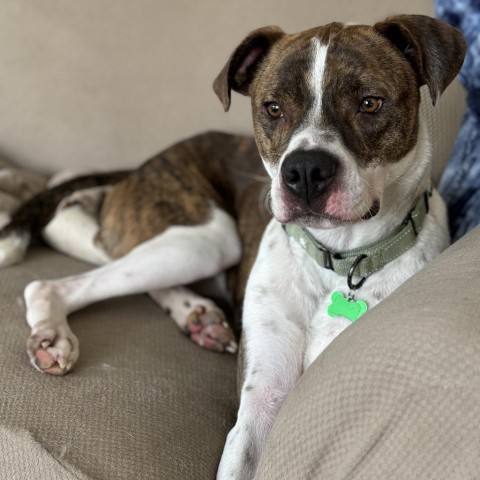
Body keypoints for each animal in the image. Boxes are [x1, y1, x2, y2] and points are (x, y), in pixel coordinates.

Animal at [0, 13, 464, 478]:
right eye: (272, 108)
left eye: (370, 103)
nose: (305, 170)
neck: (334, 259)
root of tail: (140, 167)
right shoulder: (260, 402)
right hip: (207, 240)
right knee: (51, 283)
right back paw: (53, 335)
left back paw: (197, 316)